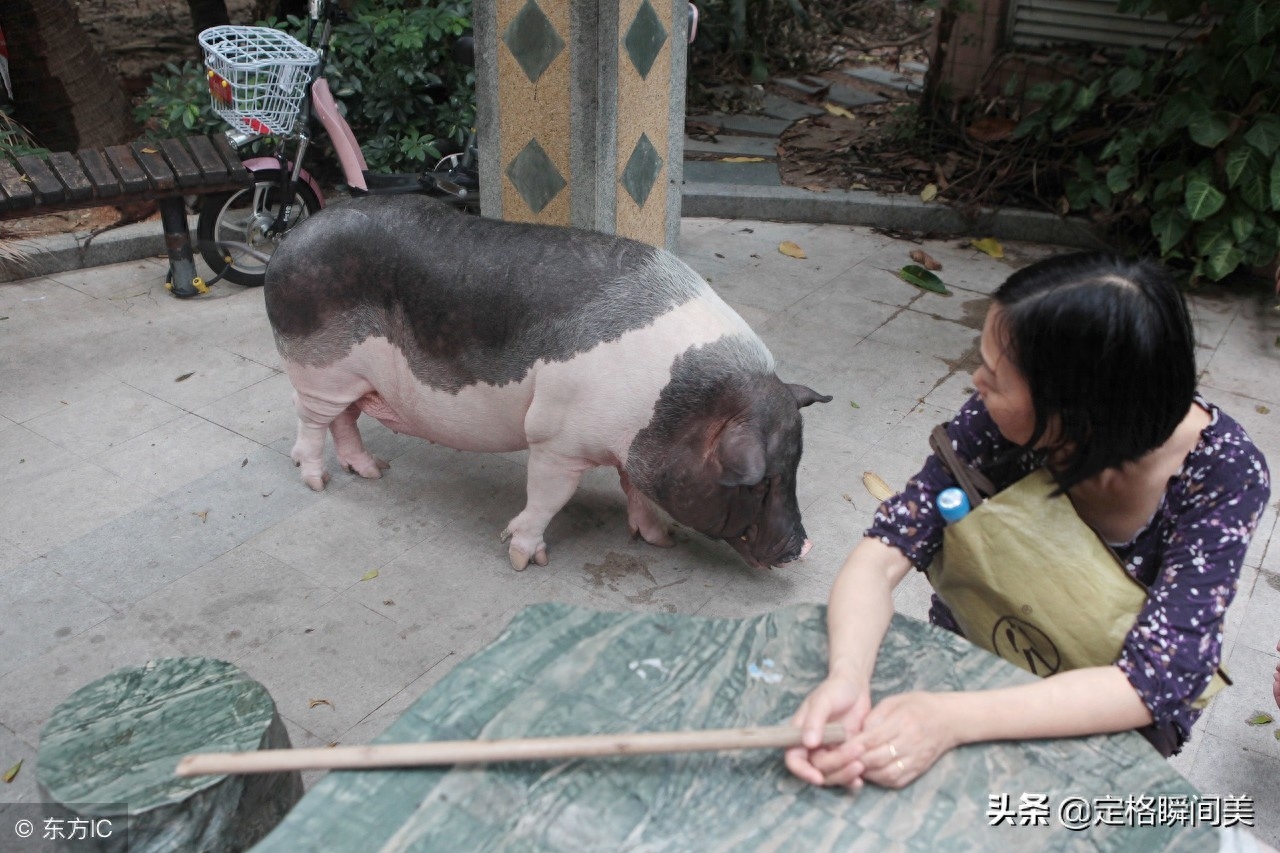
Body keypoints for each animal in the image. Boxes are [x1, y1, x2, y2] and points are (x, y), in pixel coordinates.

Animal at [264, 195, 834, 568]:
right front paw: (523, 558)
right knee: (310, 425)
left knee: (345, 420)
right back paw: (318, 481)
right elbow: (547, 498)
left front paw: (660, 540)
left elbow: (637, 491)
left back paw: (372, 472)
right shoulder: (556, 439)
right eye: (756, 481)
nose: (804, 547)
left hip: (351, 381)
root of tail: (291, 239)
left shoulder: (630, 447)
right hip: (319, 370)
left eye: (795, 466)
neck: (676, 407)